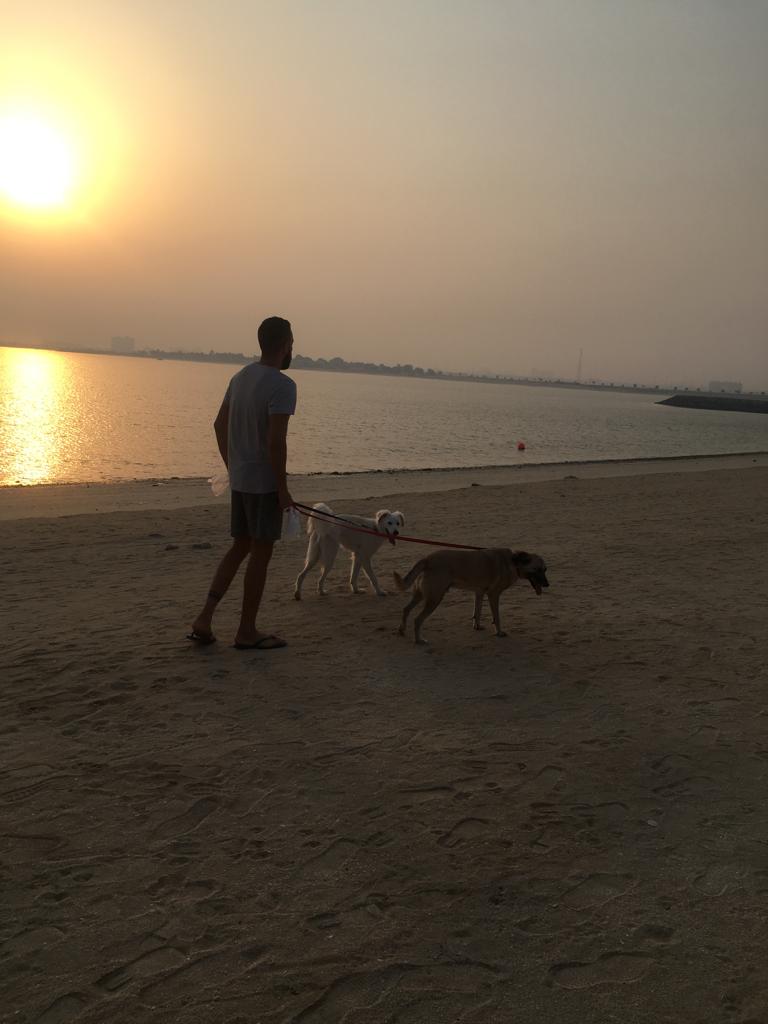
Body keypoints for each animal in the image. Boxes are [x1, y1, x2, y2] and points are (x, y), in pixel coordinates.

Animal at [393, 548, 548, 643]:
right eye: (537, 569)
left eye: (545, 569)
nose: (547, 584)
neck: (514, 562)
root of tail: (427, 559)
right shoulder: (493, 595)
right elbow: (497, 617)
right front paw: (499, 632)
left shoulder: (479, 593)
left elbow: (477, 612)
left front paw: (477, 626)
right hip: (435, 599)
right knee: (417, 620)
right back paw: (419, 640)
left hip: (421, 595)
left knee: (406, 609)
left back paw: (401, 629)